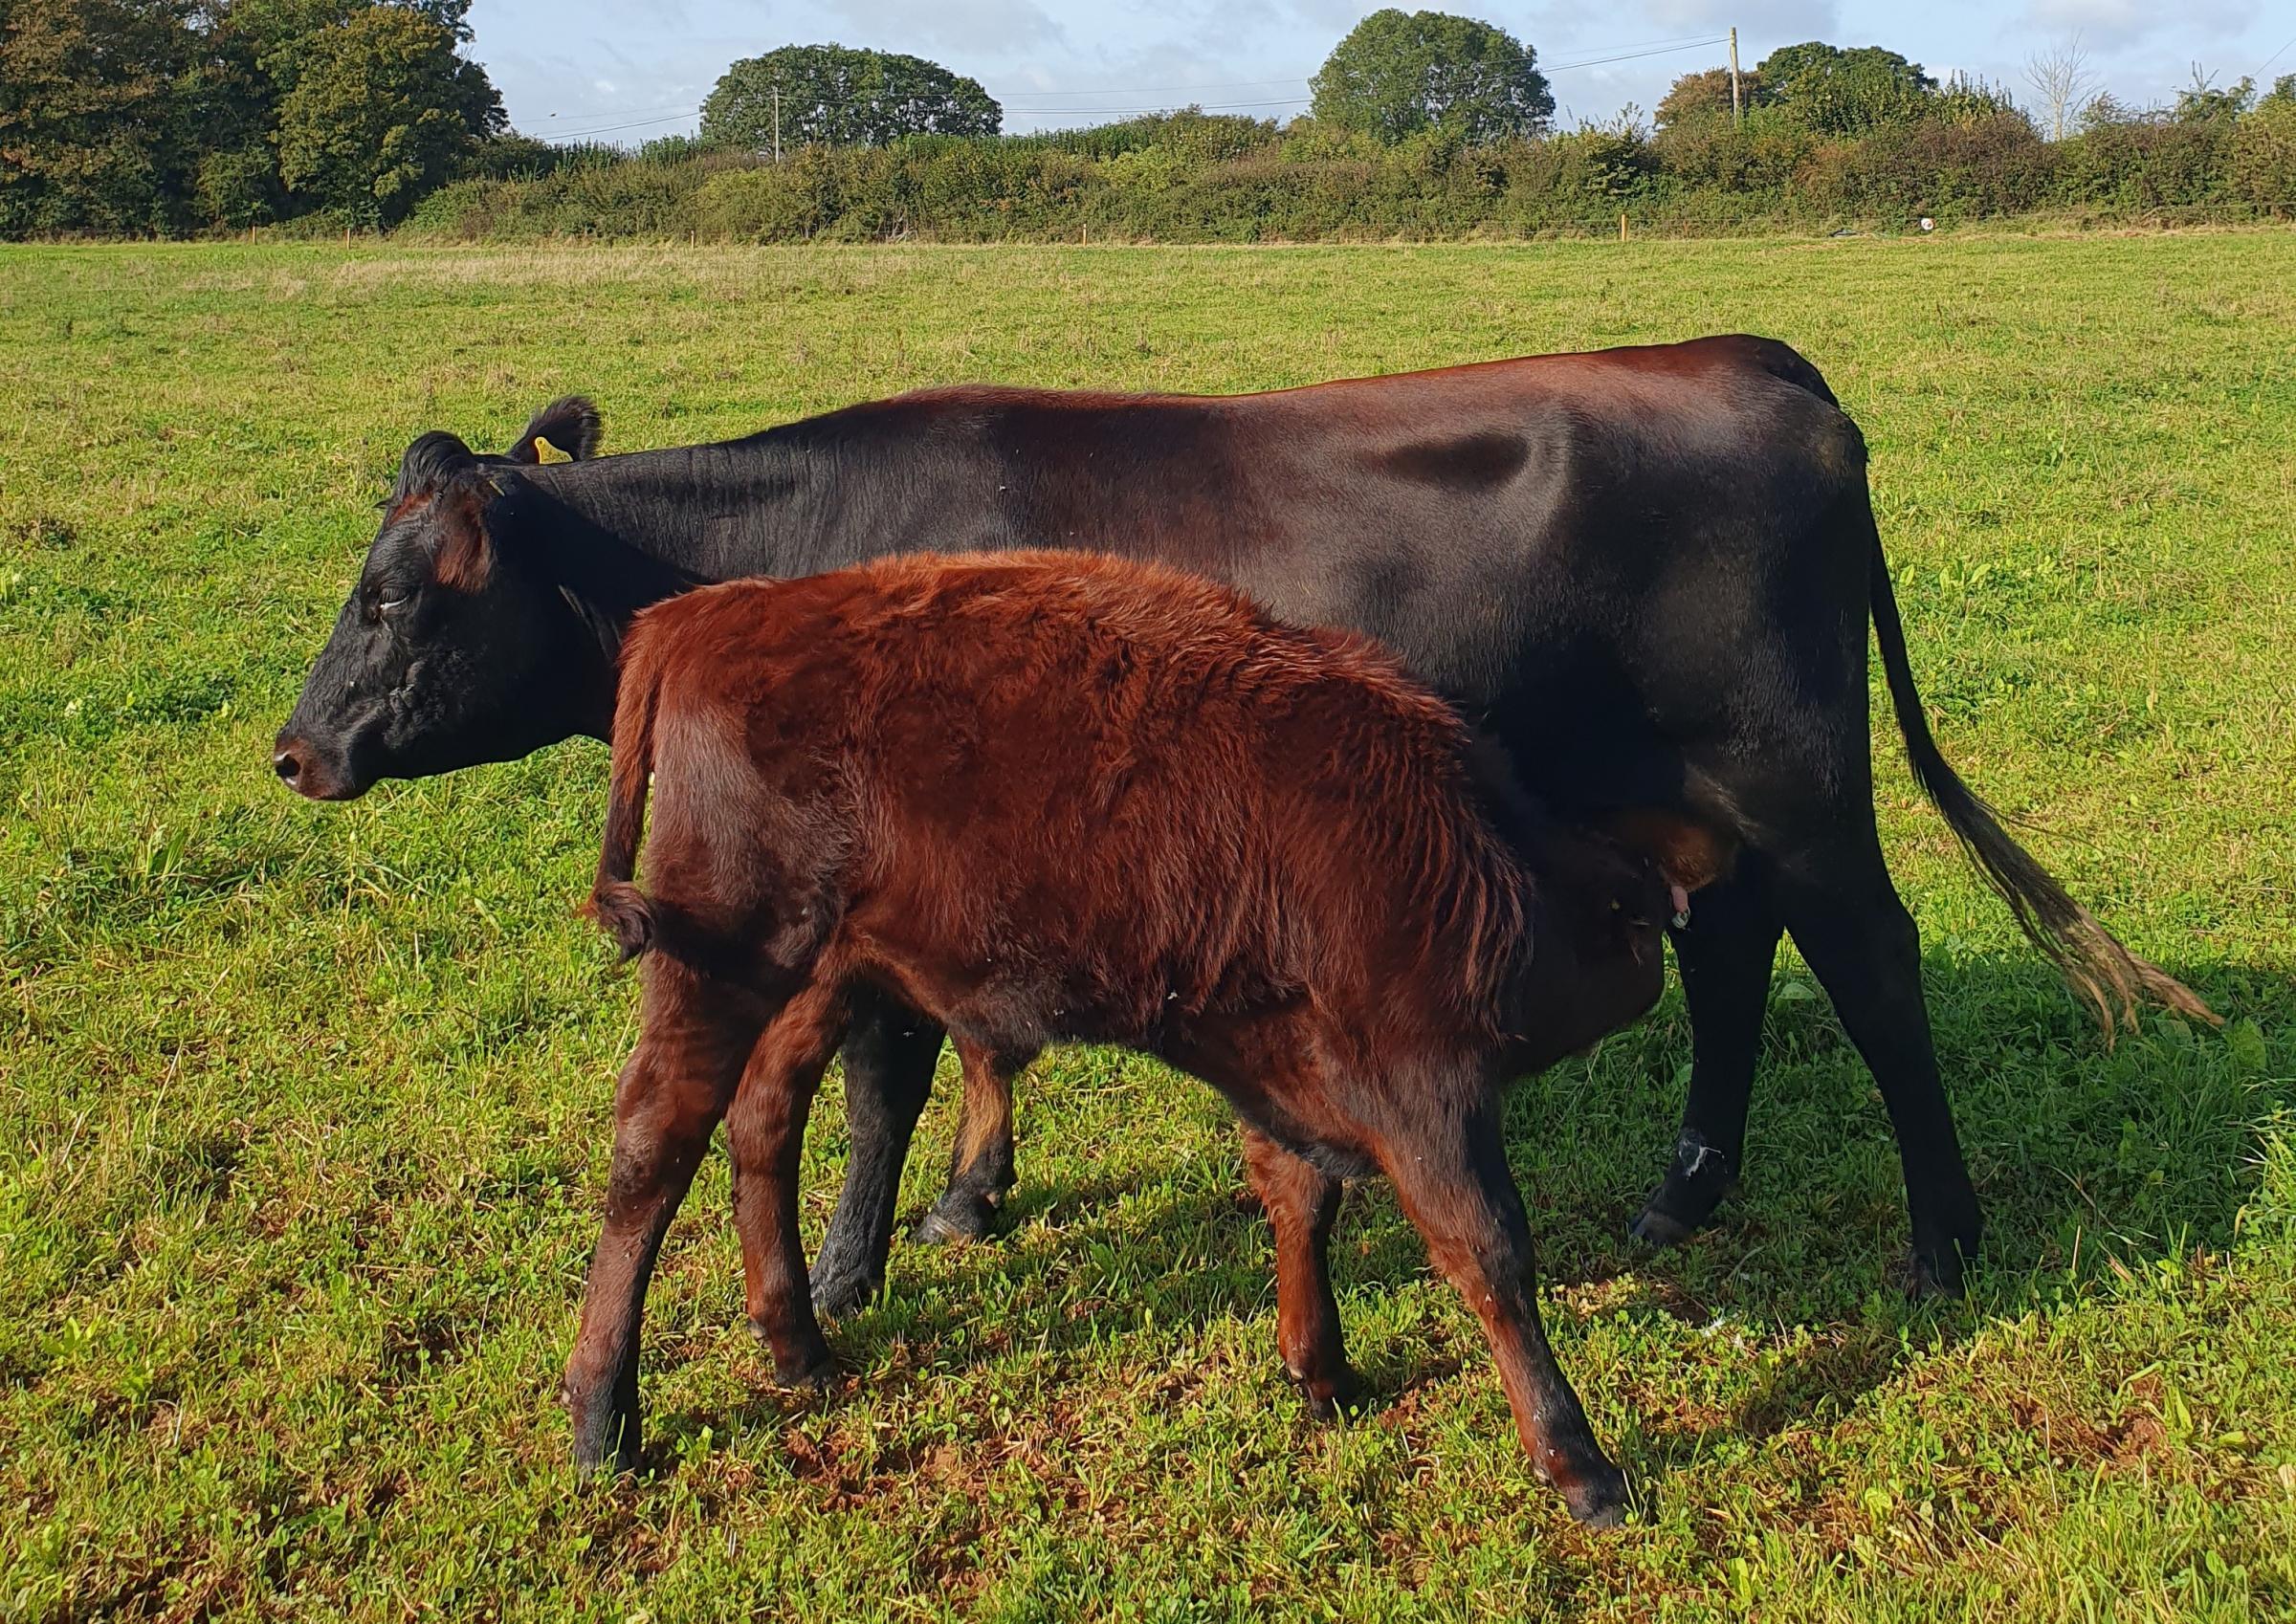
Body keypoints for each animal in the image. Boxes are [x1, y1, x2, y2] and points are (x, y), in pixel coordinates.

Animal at [273, 339, 2213, 1307]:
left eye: (396, 595)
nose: (294, 750)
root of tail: (1768, 375)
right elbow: (964, 1047)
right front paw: (969, 1202)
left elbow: (894, 1064)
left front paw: (859, 1260)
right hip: (1696, 795)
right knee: (1738, 951)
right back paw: (1685, 1193)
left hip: (1799, 775)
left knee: (1872, 965)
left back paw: (1942, 1246)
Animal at [567, 548, 1713, 1524]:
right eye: (1629, 929)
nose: (1658, 949)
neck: (1473, 854)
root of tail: (699, 620)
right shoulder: (1422, 1087)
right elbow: (1489, 1253)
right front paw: (1584, 1468)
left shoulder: (1290, 1069)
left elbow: (1302, 1198)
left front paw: (1325, 1371)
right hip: (718, 961)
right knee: (654, 1146)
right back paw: (602, 1420)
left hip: (823, 971)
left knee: (764, 1116)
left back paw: (799, 1346)